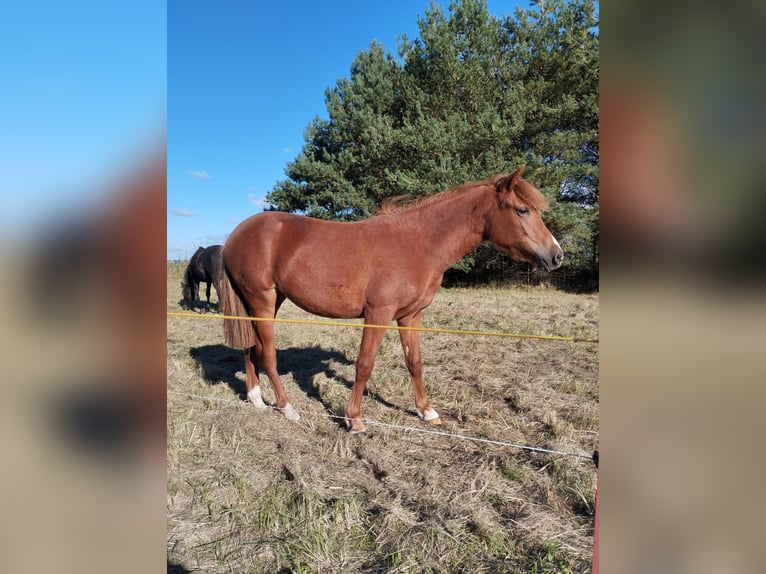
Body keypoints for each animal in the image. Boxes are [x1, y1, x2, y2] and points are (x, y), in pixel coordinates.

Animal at [218, 164, 564, 434]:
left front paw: (427, 411)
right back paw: (287, 408)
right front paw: (354, 419)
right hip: (262, 300)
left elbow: (415, 363)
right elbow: (365, 364)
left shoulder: (410, 316)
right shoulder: (378, 314)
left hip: (266, 303)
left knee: (251, 348)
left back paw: (257, 400)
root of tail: (237, 234)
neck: (418, 242)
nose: (557, 255)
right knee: (268, 354)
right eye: (522, 210)